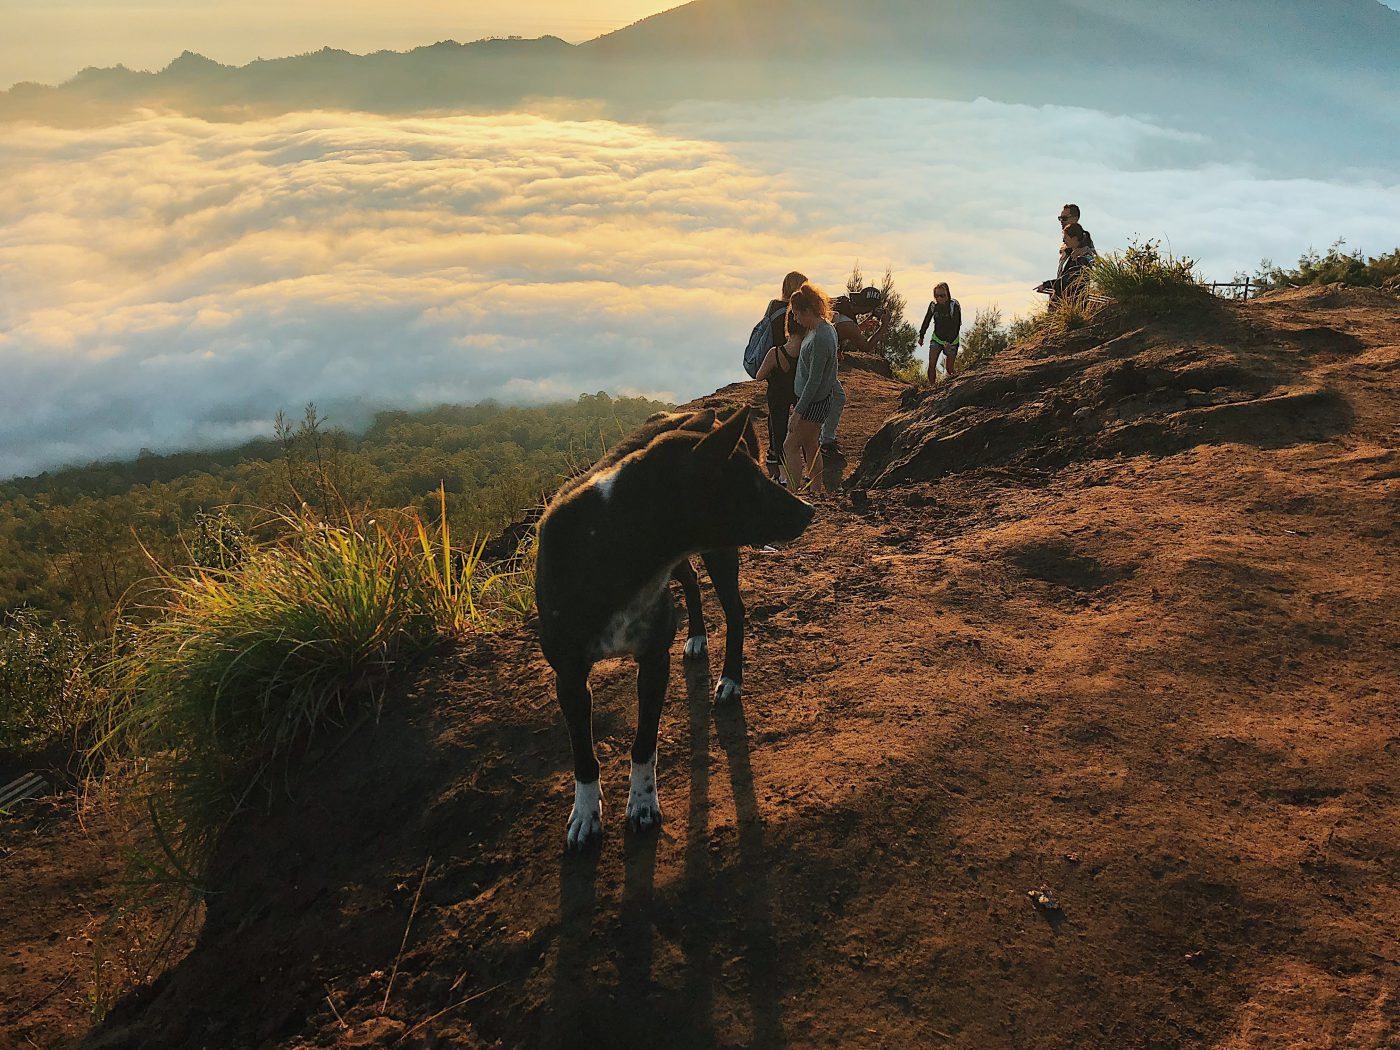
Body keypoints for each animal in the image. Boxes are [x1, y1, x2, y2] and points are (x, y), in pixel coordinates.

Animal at [537, 406, 817, 851]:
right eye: (752, 482)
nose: (810, 509)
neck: (615, 543)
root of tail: (706, 414)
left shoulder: (654, 662)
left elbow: (643, 744)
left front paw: (642, 804)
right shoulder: (569, 676)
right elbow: (583, 754)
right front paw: (585, 814)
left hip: (720, 551)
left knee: (735, 611)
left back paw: (730, 678)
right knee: (692, 582)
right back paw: (697, 636)